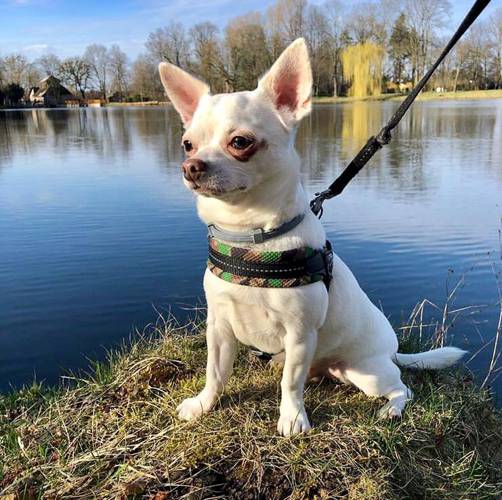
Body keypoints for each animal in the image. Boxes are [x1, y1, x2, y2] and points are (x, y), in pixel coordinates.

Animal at [158, 38, 466, 436]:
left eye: (240, 142)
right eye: (187, 144)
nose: (190, 167)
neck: (251, 239)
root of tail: (392, 350)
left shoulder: (300, 334)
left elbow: (291, 382)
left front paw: (292, 419)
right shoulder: (220, 327)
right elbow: (216, 372)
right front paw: (203, 405)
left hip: (368, 373)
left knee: (403, 388)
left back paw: (392, 409)